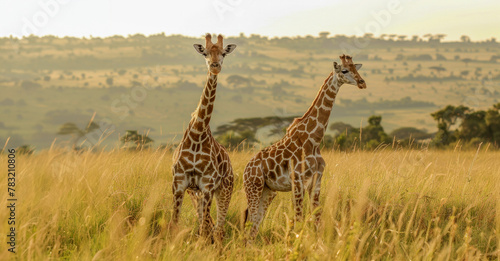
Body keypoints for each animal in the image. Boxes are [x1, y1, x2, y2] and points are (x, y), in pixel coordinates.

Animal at [171, 33, 237, 242]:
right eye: (205, 53)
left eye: (224, 53)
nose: (215, 66)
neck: (197, 132)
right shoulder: (179, 184)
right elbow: (174, 224)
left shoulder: (208, 186)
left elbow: (205, 229)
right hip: (195, 193)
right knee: (208, 224)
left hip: (225, 189)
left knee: (218, 228)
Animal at [243, 53, 366, 241]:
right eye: (344, 70)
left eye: (355, 68)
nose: (362, 82)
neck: (314, 140)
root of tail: (246, 169)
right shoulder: (298, 181)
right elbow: (299, 219)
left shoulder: (316, 180)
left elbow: (317, 218)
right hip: (253, 187)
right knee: (250, 220)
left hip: (268, 191)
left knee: (255, 221)